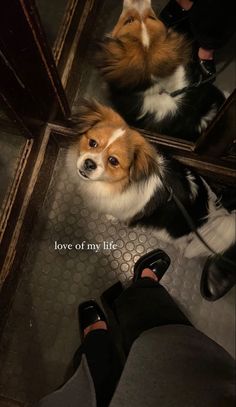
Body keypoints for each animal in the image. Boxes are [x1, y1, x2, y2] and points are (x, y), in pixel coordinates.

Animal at [66, 99, 234, 258]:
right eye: (92, 143)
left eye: (113, 161)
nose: (89, 163)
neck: (115, 184)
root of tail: (211, 212)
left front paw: (111, 217)